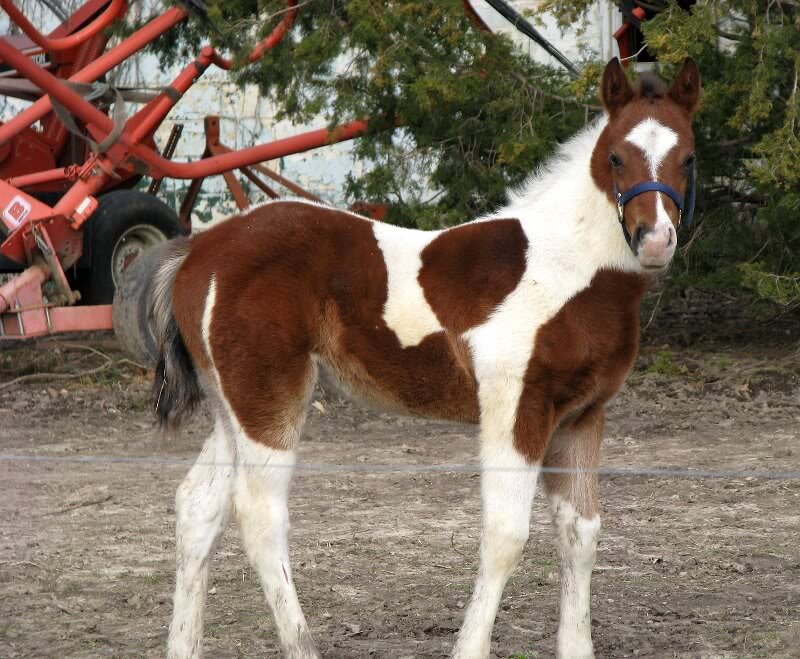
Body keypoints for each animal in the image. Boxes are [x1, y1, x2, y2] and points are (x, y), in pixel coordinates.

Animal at [151, 57, 700, 658]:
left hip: (230, 405)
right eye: (616, 157)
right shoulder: (517, 408)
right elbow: (506, 534)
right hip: (269, 398)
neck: (568, 267)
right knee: (259, 515)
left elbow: (581, 533)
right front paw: (470, 648)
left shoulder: (582, 416)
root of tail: (197, 251)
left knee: (198, 506)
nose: (655, 240)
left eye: (689, 157)